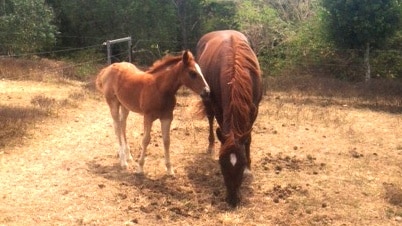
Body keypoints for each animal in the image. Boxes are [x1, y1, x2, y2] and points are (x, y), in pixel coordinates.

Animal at [196, 30, 264, 207]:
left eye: (241, 163)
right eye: (222, 164)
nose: (233, 200)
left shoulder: (254, 109)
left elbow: (248, 138)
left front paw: (249, 168)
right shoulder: (219, 108)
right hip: (208, 101)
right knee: (210, 119)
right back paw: (211, 146)